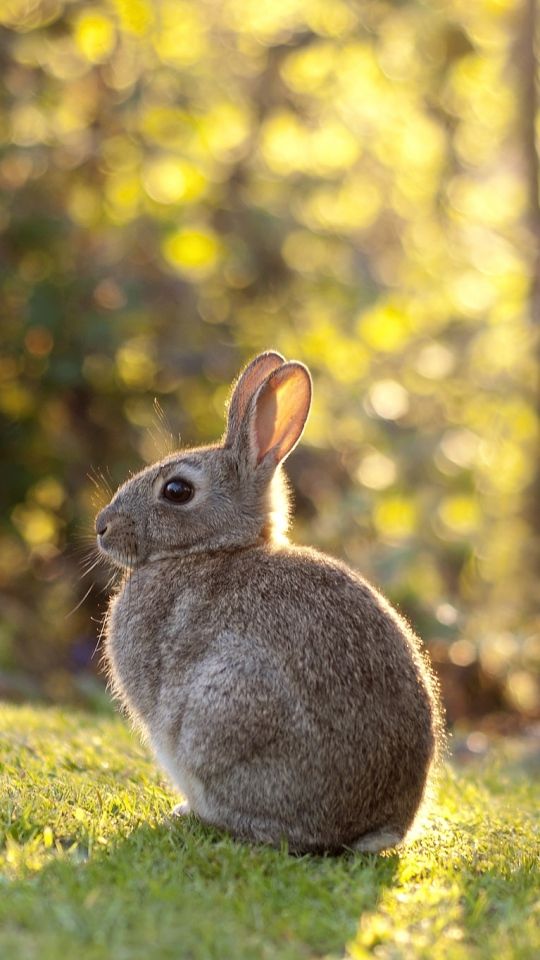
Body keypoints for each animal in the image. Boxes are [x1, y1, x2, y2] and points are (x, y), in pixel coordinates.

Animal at [97, 352, 442, 856]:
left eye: (177, 491)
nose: (101, 526)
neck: (212, 549)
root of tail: (371, 828)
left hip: (226, 708)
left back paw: (194, 814)